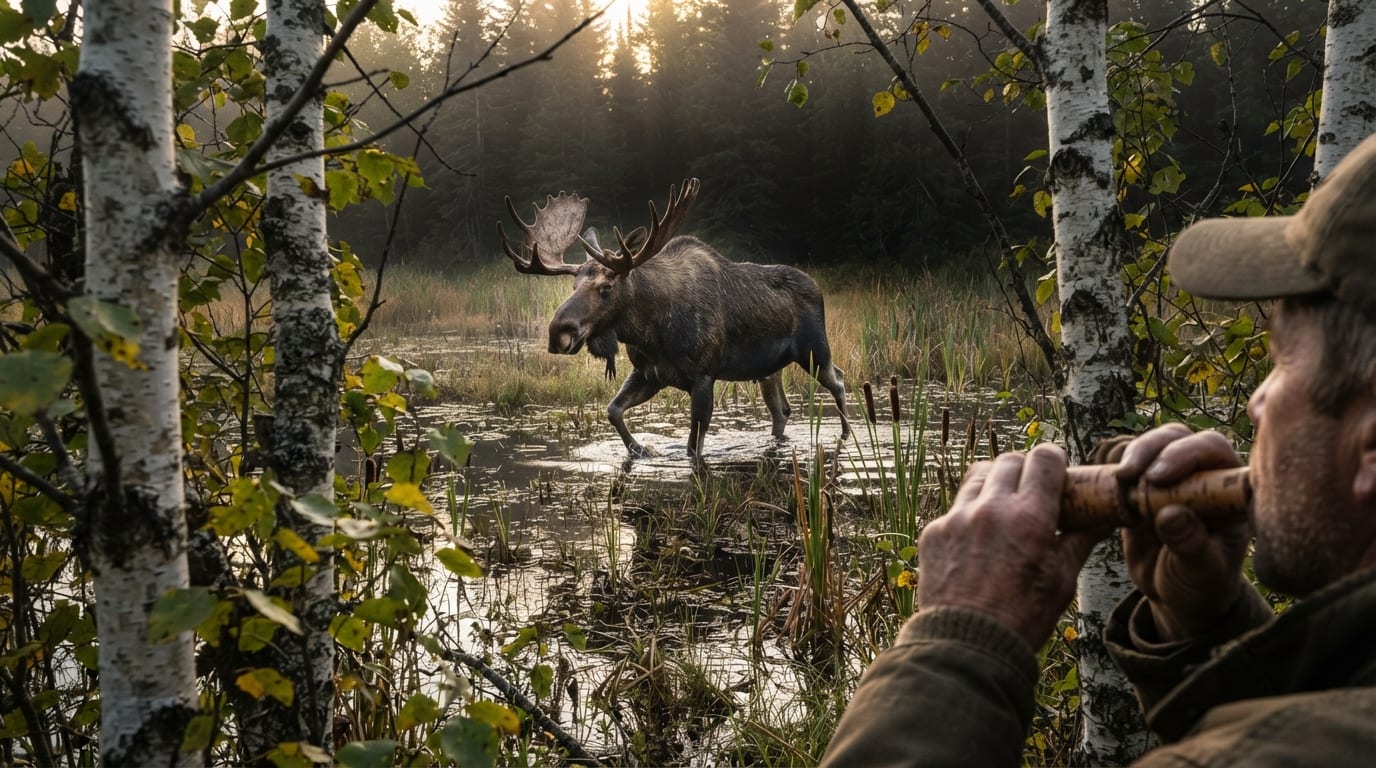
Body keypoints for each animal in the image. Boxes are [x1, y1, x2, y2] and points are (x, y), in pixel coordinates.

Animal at [498, 178, 850, 458]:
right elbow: (613, 410)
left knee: (839, 380)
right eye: (573, 286)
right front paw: (641, 449)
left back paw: (847, 436)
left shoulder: (703, 376)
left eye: (606, 288)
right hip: (768, 370)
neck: (651, 332)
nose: (559, 332)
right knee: (781, 411)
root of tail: (817, 288)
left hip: (815, 350)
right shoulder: (649, 373)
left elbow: (694, 447)